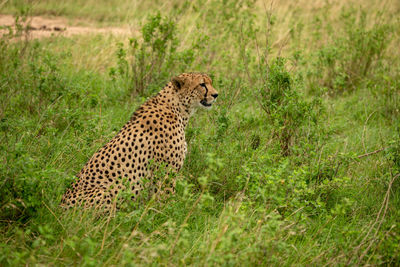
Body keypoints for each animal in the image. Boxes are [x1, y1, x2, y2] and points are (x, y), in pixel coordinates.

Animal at [60, 73, 219, 209]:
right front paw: (171, 214)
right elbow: (167, 200)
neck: (177, 108)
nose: (216, 95)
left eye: (210, 82)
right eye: (202, 84)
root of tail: (60, 208)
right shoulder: (165, 172)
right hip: (105, 191)